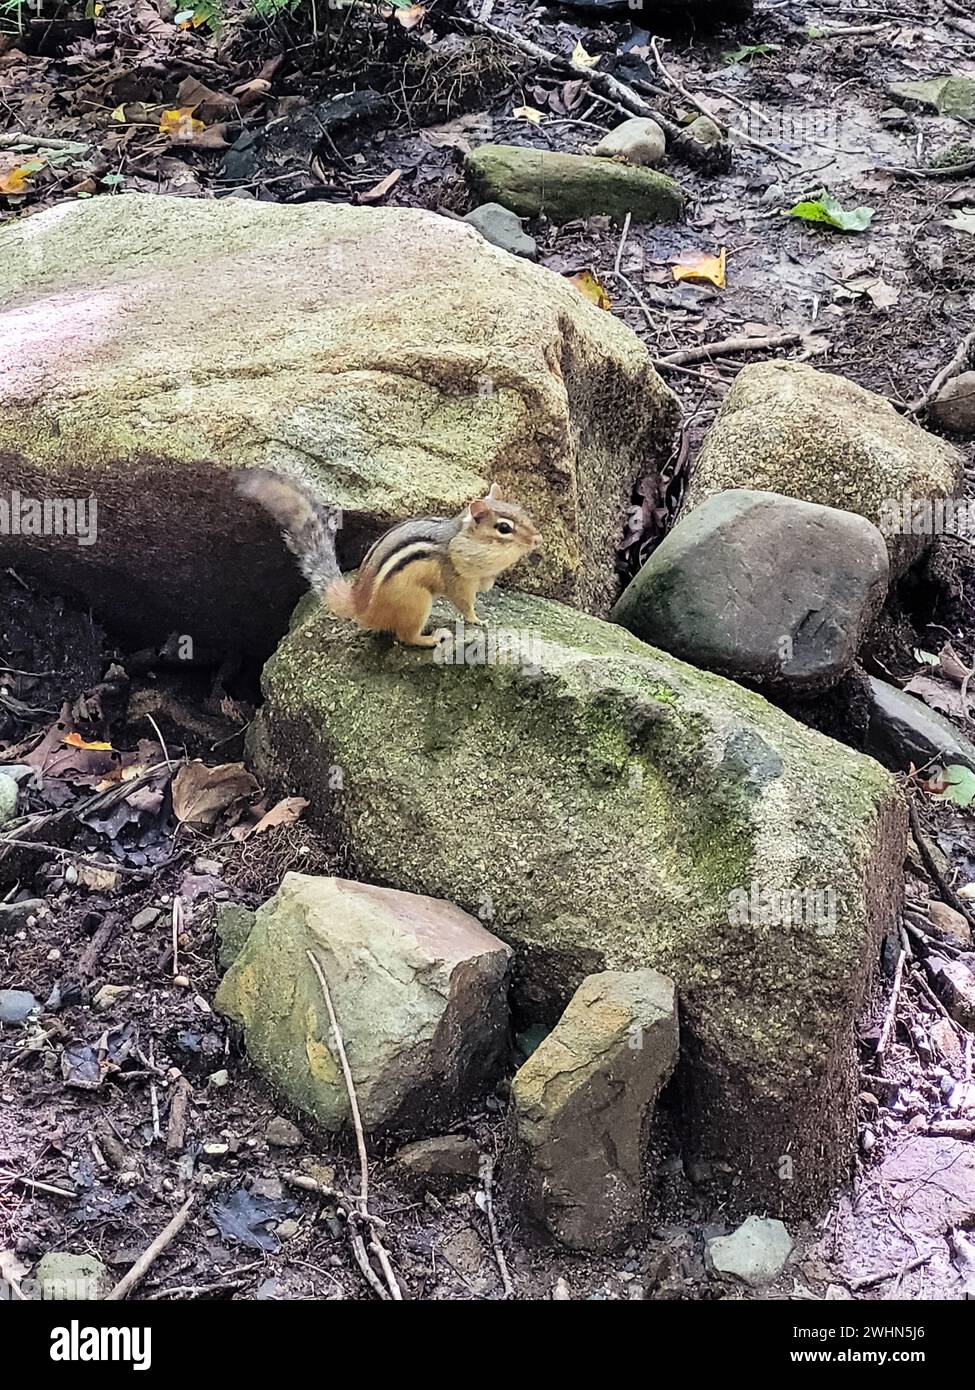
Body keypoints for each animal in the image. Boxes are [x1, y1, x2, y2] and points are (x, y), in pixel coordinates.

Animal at [237, 469, 542, 648]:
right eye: (504, 528)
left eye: (522, 511)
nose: (538, 539)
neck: (464, 540)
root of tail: (360, 606)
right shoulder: (456, 578)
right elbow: (464, 603)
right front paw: (478, 620)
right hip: (416, 601)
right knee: (405, 637)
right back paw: (433, 638)